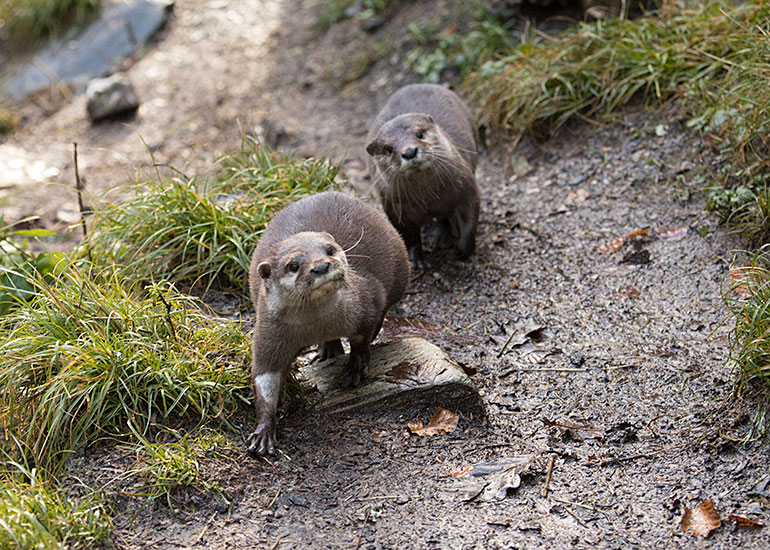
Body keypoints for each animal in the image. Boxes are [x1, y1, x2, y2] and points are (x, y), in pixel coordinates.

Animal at [247, 191, 409, 456]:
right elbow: (264, 378)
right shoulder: (267, 333)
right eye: (293, 265)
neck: (317, 326)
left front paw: (354, 368)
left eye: (330, 250)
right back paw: (327, 352)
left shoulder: (367, 299)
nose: (321, 265)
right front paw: (263, 430)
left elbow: (362, 338)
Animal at [365, 83, 480, 267]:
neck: (429, 199)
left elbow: (469, 218)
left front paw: (461, 251)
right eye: (388, 149)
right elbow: (408, 236)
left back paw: (442, 237)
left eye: (419, 134)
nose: (409, 152)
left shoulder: (465, 186)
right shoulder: (396, 209)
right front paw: (417, 259)